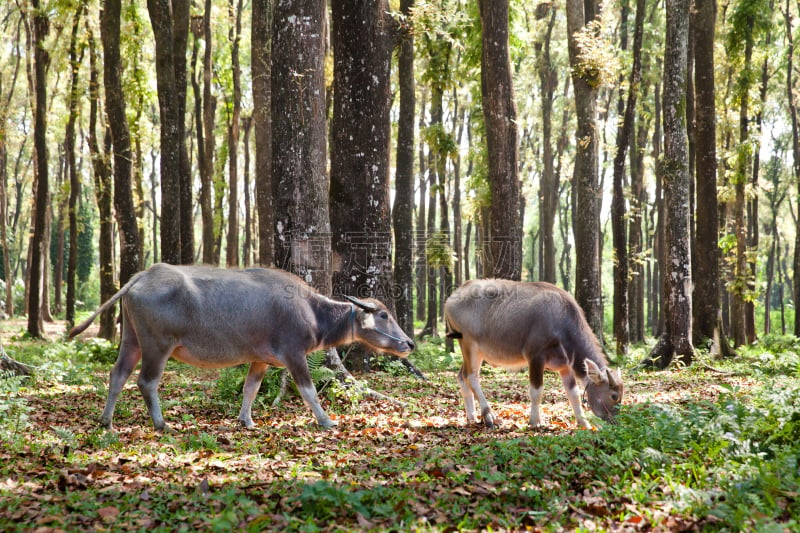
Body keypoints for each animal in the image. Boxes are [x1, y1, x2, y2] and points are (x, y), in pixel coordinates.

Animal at [70, 262, 412, 432]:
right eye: (384, 315)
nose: (408, 342)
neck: (311, 310)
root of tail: (142, 275)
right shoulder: (294, 355)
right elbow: (309, 391)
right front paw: (326, 420)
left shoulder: (261, 360)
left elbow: (250, 389)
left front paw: (246, 420)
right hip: (158, 344)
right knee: (146, 381)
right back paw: (160, 423)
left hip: (131, 339)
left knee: (118, 375)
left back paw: (106, 420)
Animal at [446, 278, 620, 428]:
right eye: (614, 396)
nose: (616, 421)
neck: (561, 321)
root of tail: (452, 297)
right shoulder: (535, 357)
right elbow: (537, 391)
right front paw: (535, 421)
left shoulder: (566, 366)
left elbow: (574, 394)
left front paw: (583, 423)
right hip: (470, 344)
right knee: (471, 377)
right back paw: (488, 416)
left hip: (474, 350)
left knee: (462, 376)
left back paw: (471, 416)